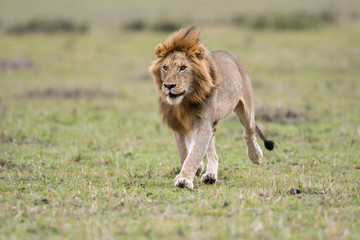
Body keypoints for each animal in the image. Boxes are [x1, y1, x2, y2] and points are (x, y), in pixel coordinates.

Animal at [148, 26, 272, 189]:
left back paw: (256, 155)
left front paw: (184, 179)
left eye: (183, 68)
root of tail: (233, 56)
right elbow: (185, 151)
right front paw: (195, 169)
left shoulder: (204, 122)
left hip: (245, 107)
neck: (186, 100)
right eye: (165, 68)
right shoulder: (179, 122)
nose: (168, 86)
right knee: (212, 151)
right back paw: (210, 175)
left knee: (249, 131)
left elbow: (195, 151)